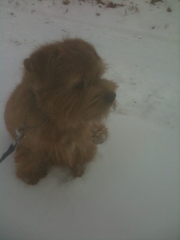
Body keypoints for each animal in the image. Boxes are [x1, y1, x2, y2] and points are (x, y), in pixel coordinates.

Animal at [4, 37, 118, 185]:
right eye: (79, 84)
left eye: (99, 75)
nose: (112, 96)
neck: (56, 119)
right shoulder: (29, 150)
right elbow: (31, 169)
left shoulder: (79, 145)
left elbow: (82, 158)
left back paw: (99, 134)